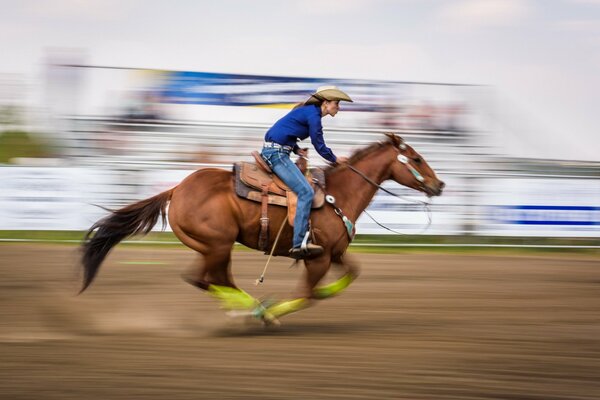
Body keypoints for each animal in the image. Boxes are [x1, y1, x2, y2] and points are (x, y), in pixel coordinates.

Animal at [81, 134, 446, 324]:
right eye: (415, 158)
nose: (439, 185)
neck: (338, 193)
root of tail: (176, 189)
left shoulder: (335, 253)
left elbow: (351, 274)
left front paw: (321, 294)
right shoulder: (317, 258)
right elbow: (305, 296)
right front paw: (275, 311)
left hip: (212, 247)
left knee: (207, 279)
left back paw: (248, 308)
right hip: (217, 245)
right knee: (210, 279)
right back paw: (257, 310)